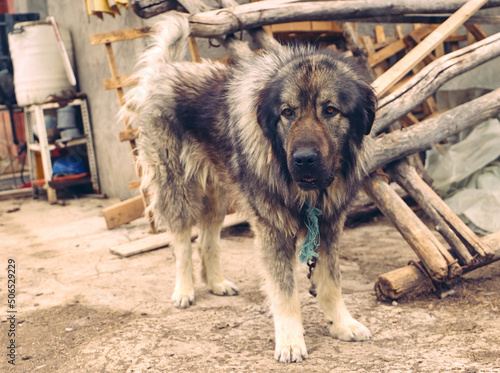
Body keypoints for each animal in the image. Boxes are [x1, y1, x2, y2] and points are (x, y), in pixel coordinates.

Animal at [124, 13, 376, 362]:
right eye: (287, 112)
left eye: (330, 110)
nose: (304, 159)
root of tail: (166, 70)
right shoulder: (273, 229)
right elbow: (285, 291)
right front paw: (290, 341)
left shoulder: (328, 224)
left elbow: (331, 282)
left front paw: (342, 324)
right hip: (179, 187)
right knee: (182, 243)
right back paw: (184, 290)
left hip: (216, 195)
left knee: (208, 240)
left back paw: (216, 283)